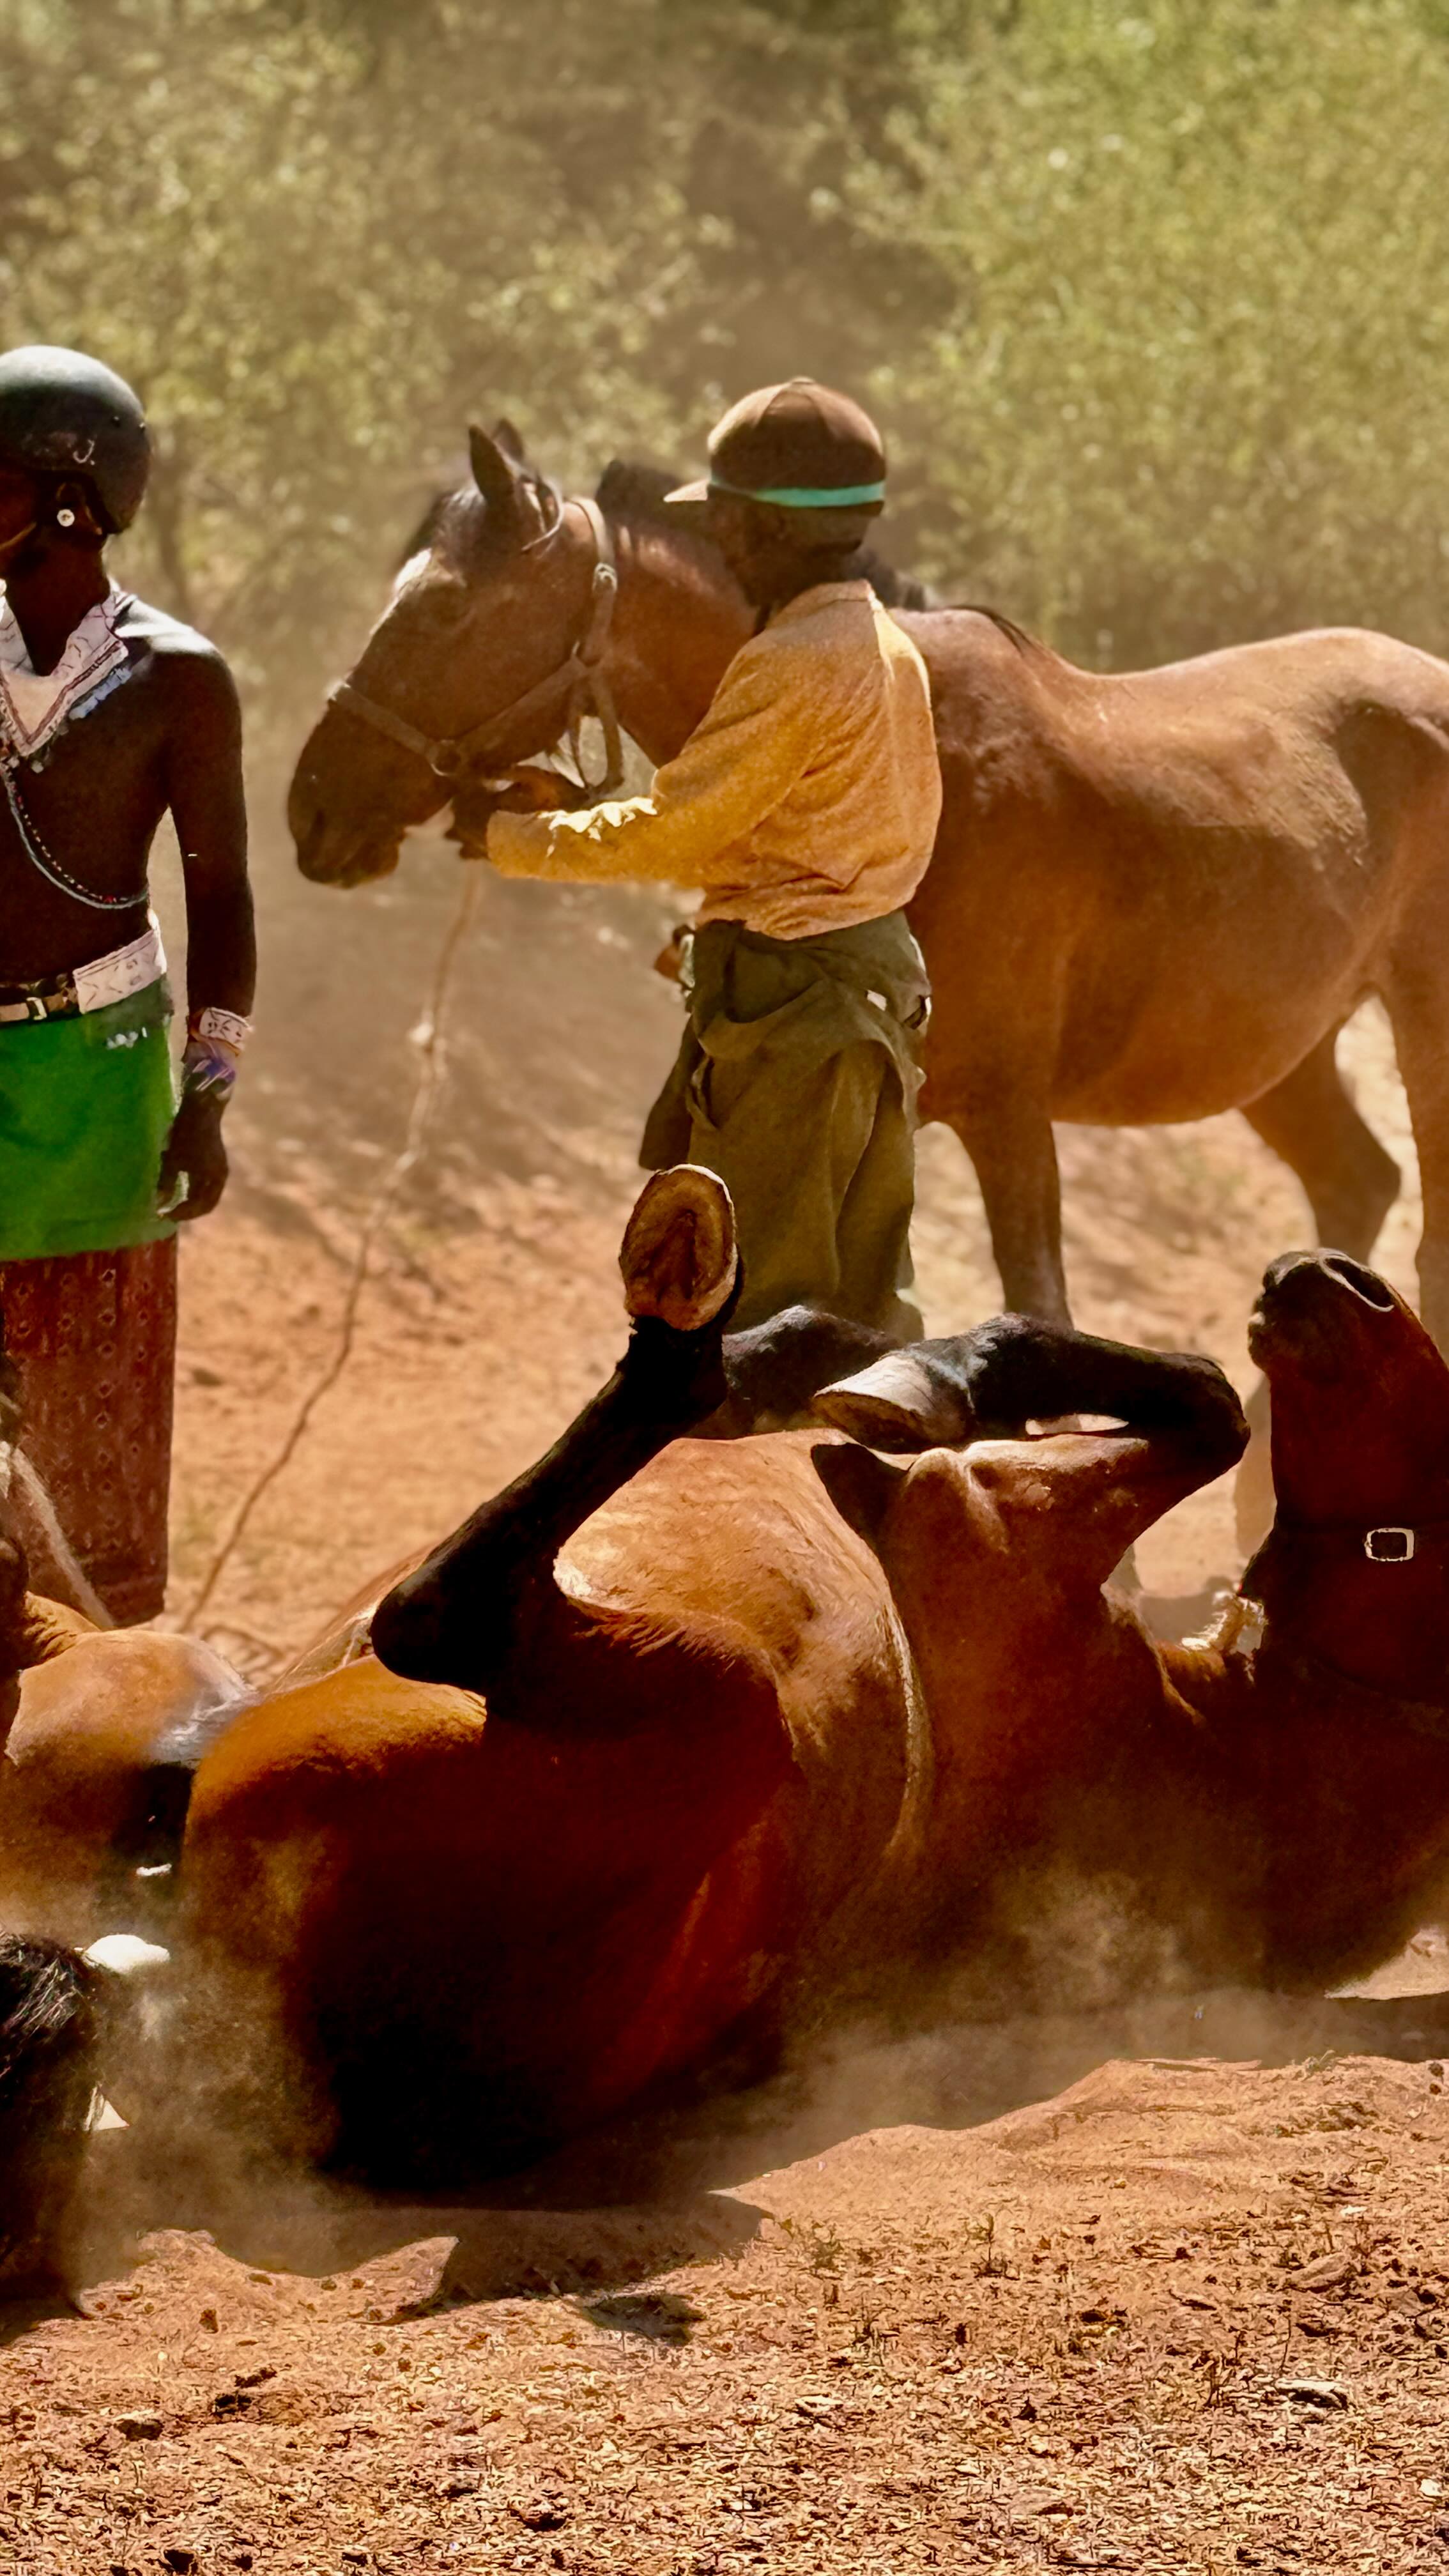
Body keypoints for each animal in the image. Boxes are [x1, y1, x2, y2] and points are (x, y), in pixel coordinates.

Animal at [287, 425, 1449, 1347]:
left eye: (443, 612)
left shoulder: (1008, 1119)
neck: (925, 761)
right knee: (1354, 1186)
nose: (310, 810)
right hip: (1283, 1051)